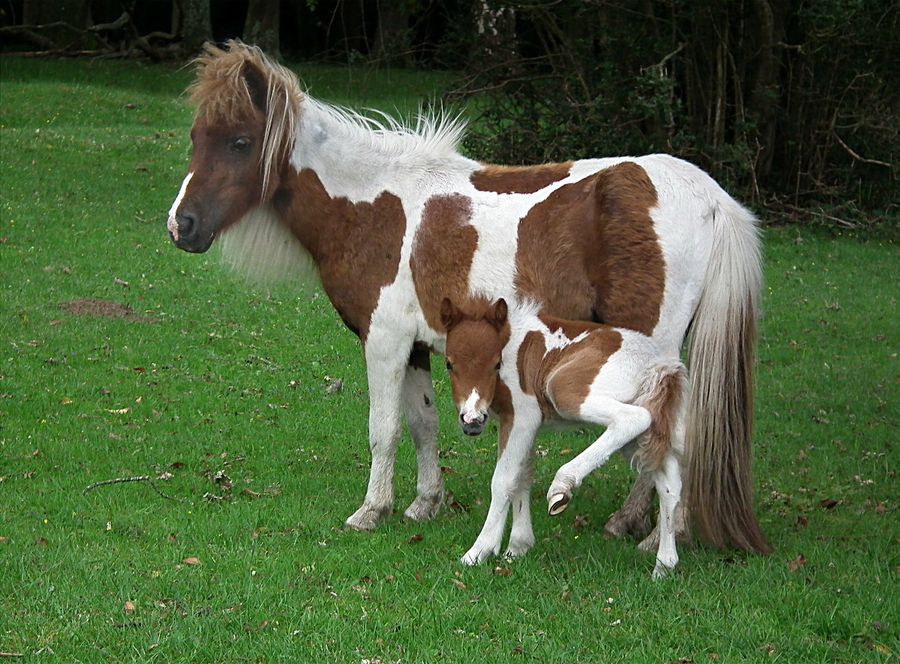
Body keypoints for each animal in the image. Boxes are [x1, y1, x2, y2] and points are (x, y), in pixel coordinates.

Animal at [442, 298, 688, 580]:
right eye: (449, 364)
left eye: (496, 364)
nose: (472, 420)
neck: (512, 343)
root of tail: (657, 365)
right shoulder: (525, 426)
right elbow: (522, 475)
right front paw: (517, 548)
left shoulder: (523, 416)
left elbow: (504, 480)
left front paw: (479, 551)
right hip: (645, 432)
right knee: (669, 486)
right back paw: (664, 566)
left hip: (563, 388)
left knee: (634, 419)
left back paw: (562, 486)